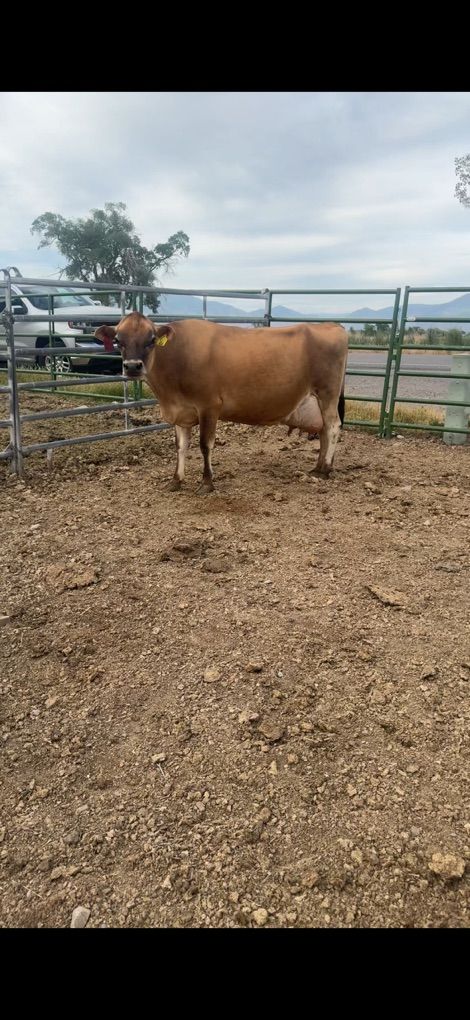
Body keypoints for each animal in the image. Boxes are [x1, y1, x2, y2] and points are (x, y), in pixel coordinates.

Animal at [94, 314, 348, 493]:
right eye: (118, 340)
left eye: (151, 340)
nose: (132, 366)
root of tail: (333, 326)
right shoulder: (181, 412)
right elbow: (181, 446)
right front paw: (176, 480)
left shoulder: (209, 406)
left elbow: (205, 445)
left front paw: (207, 483)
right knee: (324, 431)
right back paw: (318, 467)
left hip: (327, 393)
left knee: (333, 427)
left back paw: (325, 469)